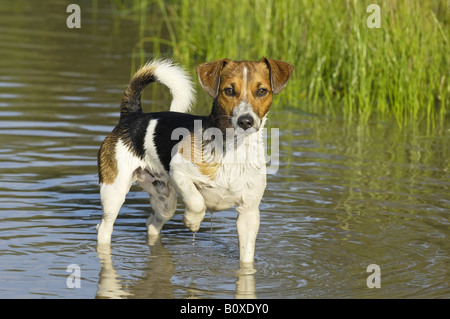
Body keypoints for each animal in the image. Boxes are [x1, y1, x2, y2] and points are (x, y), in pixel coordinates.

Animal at [97, 58, 294, 264]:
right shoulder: (179, 171)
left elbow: (246, 260)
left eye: (262, 91)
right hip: (114, 193)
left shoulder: (249, 213)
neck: (233, 148)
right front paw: (192, 222)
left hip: (165, 201)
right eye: (229, 91)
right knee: (104, 228)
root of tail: (132, 115)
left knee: (151, 224)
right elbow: (197, 201)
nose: (245, 121)